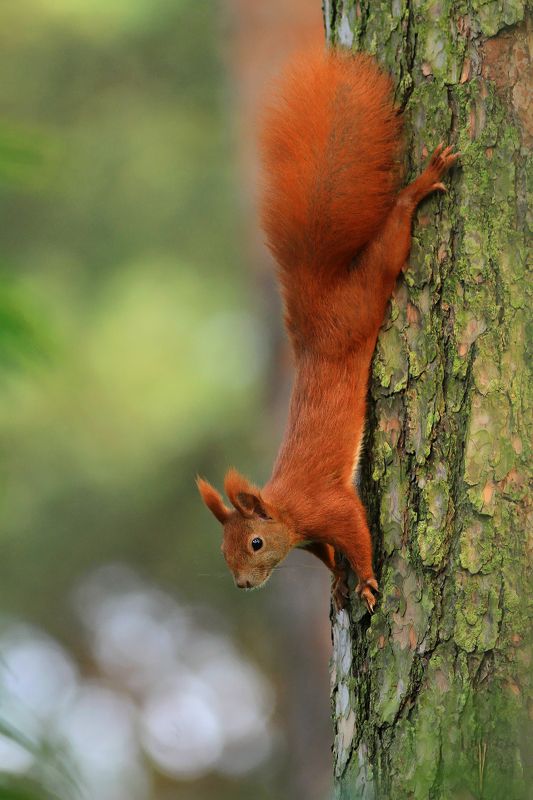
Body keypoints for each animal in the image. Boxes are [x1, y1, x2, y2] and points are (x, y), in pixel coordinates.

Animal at [197, 48, 459, 613]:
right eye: (223, 550)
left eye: (255, 542)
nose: (243, 585)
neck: (287, 509)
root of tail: (316, 310)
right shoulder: (310, 536)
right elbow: (329, 554)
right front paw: (339, 579)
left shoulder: (329, 505)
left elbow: (356, 533)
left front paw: (366, 578)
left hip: (363, 297)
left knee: (389, 243)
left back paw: (419, 187)